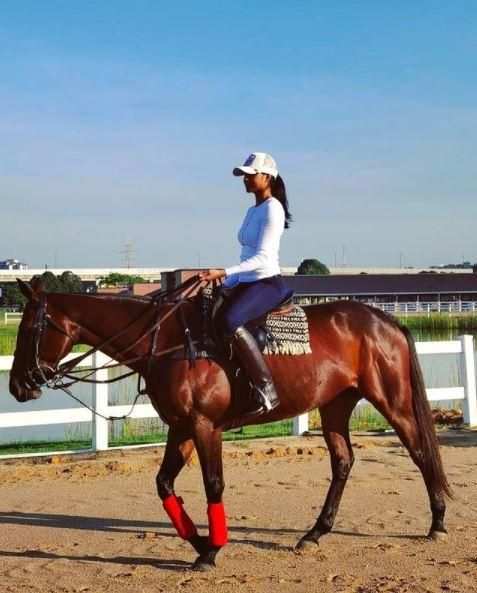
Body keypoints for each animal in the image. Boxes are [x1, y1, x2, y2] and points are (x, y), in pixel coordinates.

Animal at [11, 280, 450, 572]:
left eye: (28, 328)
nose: (17, 386)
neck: (169, 341)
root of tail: (383, 319)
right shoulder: (181, 428)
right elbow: (164, 484)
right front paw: (199, 541)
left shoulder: (206, 426)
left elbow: (213, 484)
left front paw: (212, 549)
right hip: (335, 407)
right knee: (343, 461)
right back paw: (314, 533)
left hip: (392, 400)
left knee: (420, 450)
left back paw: (438, 522)